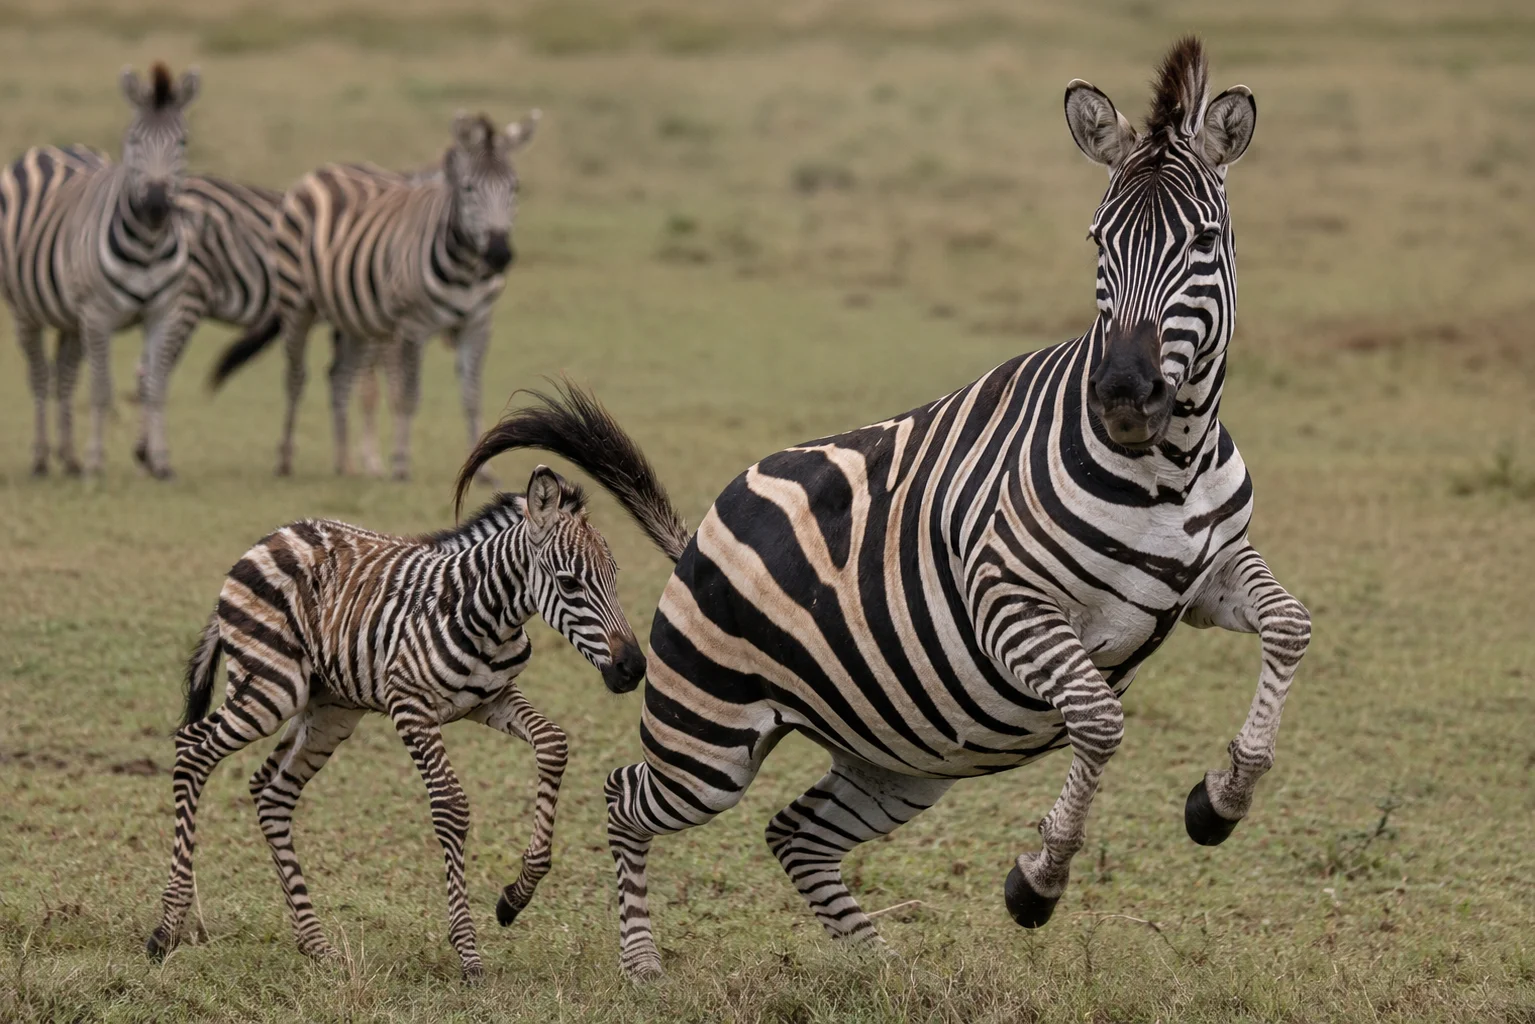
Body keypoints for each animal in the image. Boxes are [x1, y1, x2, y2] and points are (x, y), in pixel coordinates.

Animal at [0, 63, 198, 476]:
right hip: (25, 310)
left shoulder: (163, 313)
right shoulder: (98, 314)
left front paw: (160, 462)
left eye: (182, 142)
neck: (148, 244)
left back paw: (68, 457)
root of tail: (49, 148)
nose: (156, 205)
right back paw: (42, 458)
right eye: (134, 140)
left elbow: (155, 386)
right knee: (40, 376)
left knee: (64, 376)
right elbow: (101, 389)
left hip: (70, 318)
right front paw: (96, 461)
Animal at [144, 438, 656, 980]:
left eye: (614, 578)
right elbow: (451, 805)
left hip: (327, 710)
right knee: (192, 748)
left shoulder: (491, 699)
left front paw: (515, 897)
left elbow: (554, 743)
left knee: (271, 791)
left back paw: (316, 944)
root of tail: (269, 539)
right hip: (270, 686)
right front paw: (469, 953)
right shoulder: (410, 706)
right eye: (569, 583)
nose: (632, 669)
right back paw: (167, 928)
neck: (487, 613)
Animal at [207, 110, 540, 480]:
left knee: (339, 376)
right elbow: (407, 394)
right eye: (469, 189)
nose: (499, 254)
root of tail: (324, 170)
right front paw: (400, 464)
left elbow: (471, 397)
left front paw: (482, 469)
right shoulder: (412, 326)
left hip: (354, 316)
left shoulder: (478, 324)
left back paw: (343, 463)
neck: (466, 269)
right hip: (297, 302)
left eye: (515, 187)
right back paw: (286, 459)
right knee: (296, 377)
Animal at [459, 38, 1310, 980]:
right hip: (707, 738)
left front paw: (1222, 798)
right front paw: (1039, 880)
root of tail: (696, 536)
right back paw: (632, 959)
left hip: (903, 757)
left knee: (794, 833)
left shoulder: (1208, 574)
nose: (1123, 393)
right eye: (1098, 241)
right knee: (625, 797)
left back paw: (886, 970)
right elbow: (1097, 717)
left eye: (1203, 240)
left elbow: (1288, 624)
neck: (1167, 464)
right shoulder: (1006, 602)